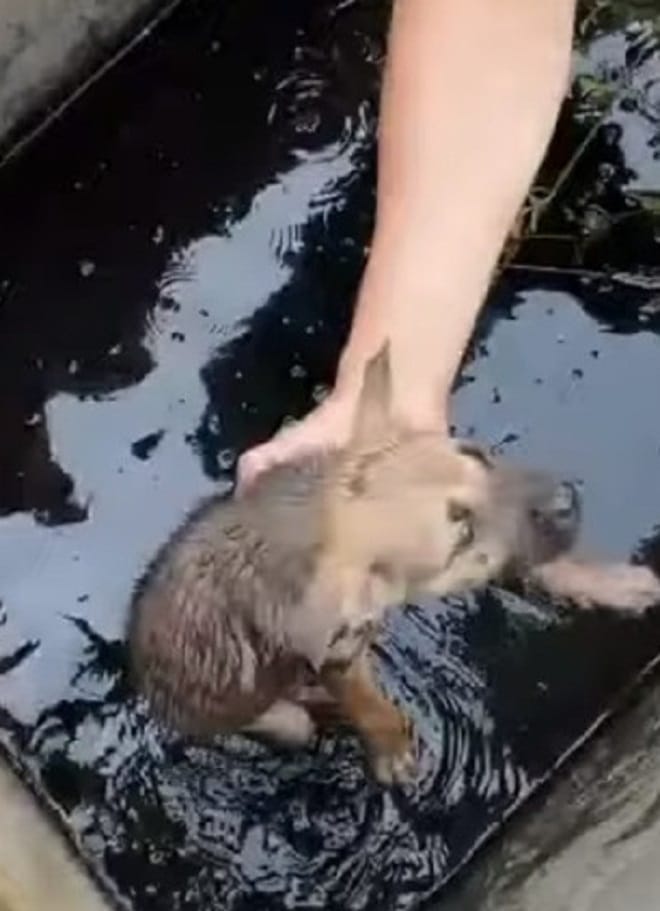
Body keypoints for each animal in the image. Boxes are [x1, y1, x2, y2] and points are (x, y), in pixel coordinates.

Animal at [127, 348, 660, 784]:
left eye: (479, 456)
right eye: (461, 534)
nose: (567, 499)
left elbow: (540, 562)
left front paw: (611, 582)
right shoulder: (339, 650)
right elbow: (368, 704)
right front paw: (391, 749)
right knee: (292, 721)